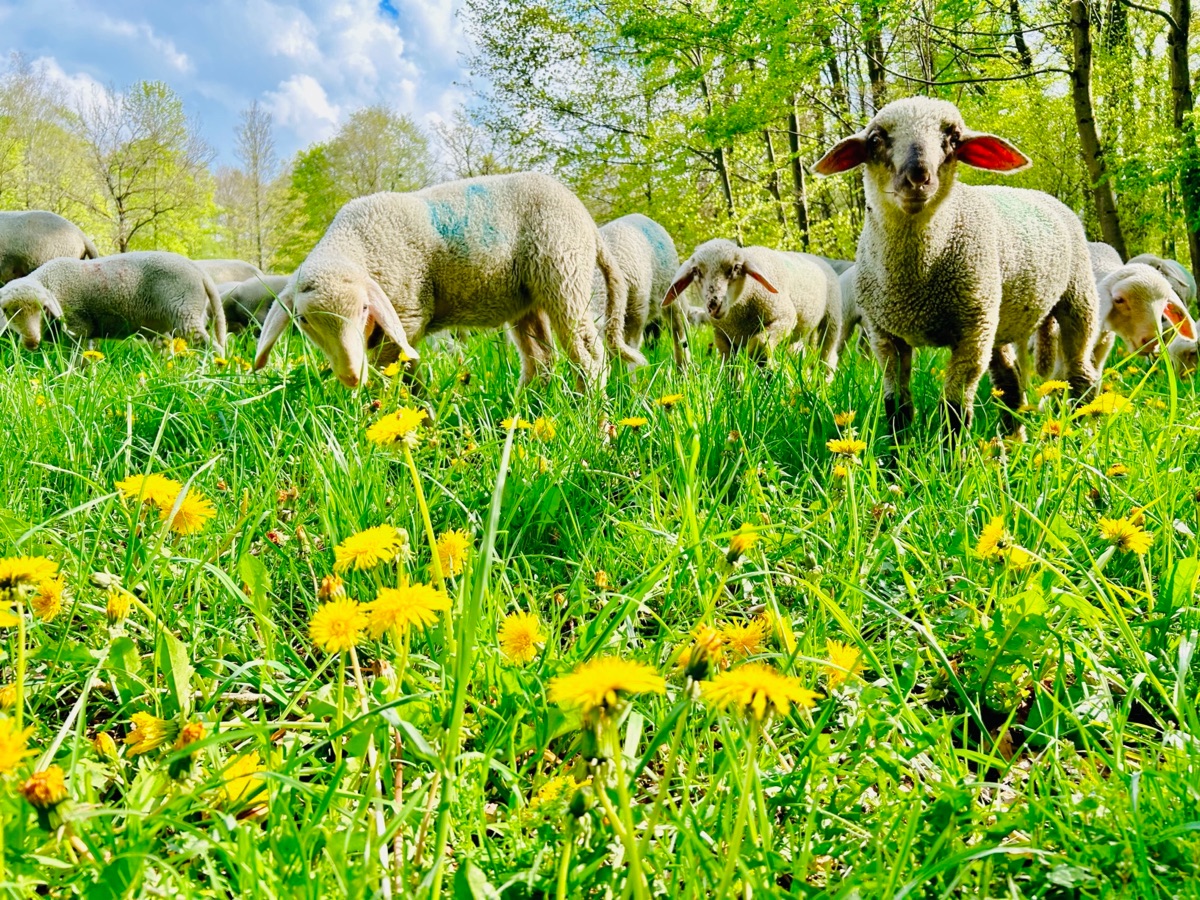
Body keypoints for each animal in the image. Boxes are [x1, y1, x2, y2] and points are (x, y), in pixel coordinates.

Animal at [0, 254, 226, 355]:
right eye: (7, 311)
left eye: (42, 308)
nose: (31, 342)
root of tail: (200, 271)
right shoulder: (85, 333)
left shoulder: (76, 328)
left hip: (185, 311)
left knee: (211, 346)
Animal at [254, 172, 648, 391]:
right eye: (303, 321)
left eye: (364, 308)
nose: (350, 375)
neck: (357, 244)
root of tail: (589, 224)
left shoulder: (406, 314)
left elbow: (393, 369)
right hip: (528, 297)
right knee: (540, 359)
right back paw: (524, 408)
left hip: (563, 272)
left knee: (588, 355)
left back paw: (591, 413)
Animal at [588, 216, 691, 369]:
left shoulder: (636, 313)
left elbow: (629, 350)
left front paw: (628, 375)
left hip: (671, 296)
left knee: (679, 333)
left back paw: (683, 369)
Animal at [657, 240, 844, 376]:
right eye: (696, 271)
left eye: (736, 268)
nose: (713, 305)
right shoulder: (723, 337)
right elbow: (730, 369)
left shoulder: (784, 318)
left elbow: (758, 345)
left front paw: (766, 370)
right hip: (796, 334)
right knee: (800, 352)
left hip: (832, 318)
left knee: (827, 356)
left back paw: (823, 381)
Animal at [811, 98, 1099, 436]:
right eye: (875, 140)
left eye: (953, 138)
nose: (918, 177)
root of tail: (1041, 196)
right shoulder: (885, 335)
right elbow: (897, 407)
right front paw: (896, 451)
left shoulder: (971, 334)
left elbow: (954, 409)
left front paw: (951, 450)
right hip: (996, 317)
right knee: (1010, 382)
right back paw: (1013, 441)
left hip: (1075, 298)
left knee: (1081, 375)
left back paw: (1085, 432)